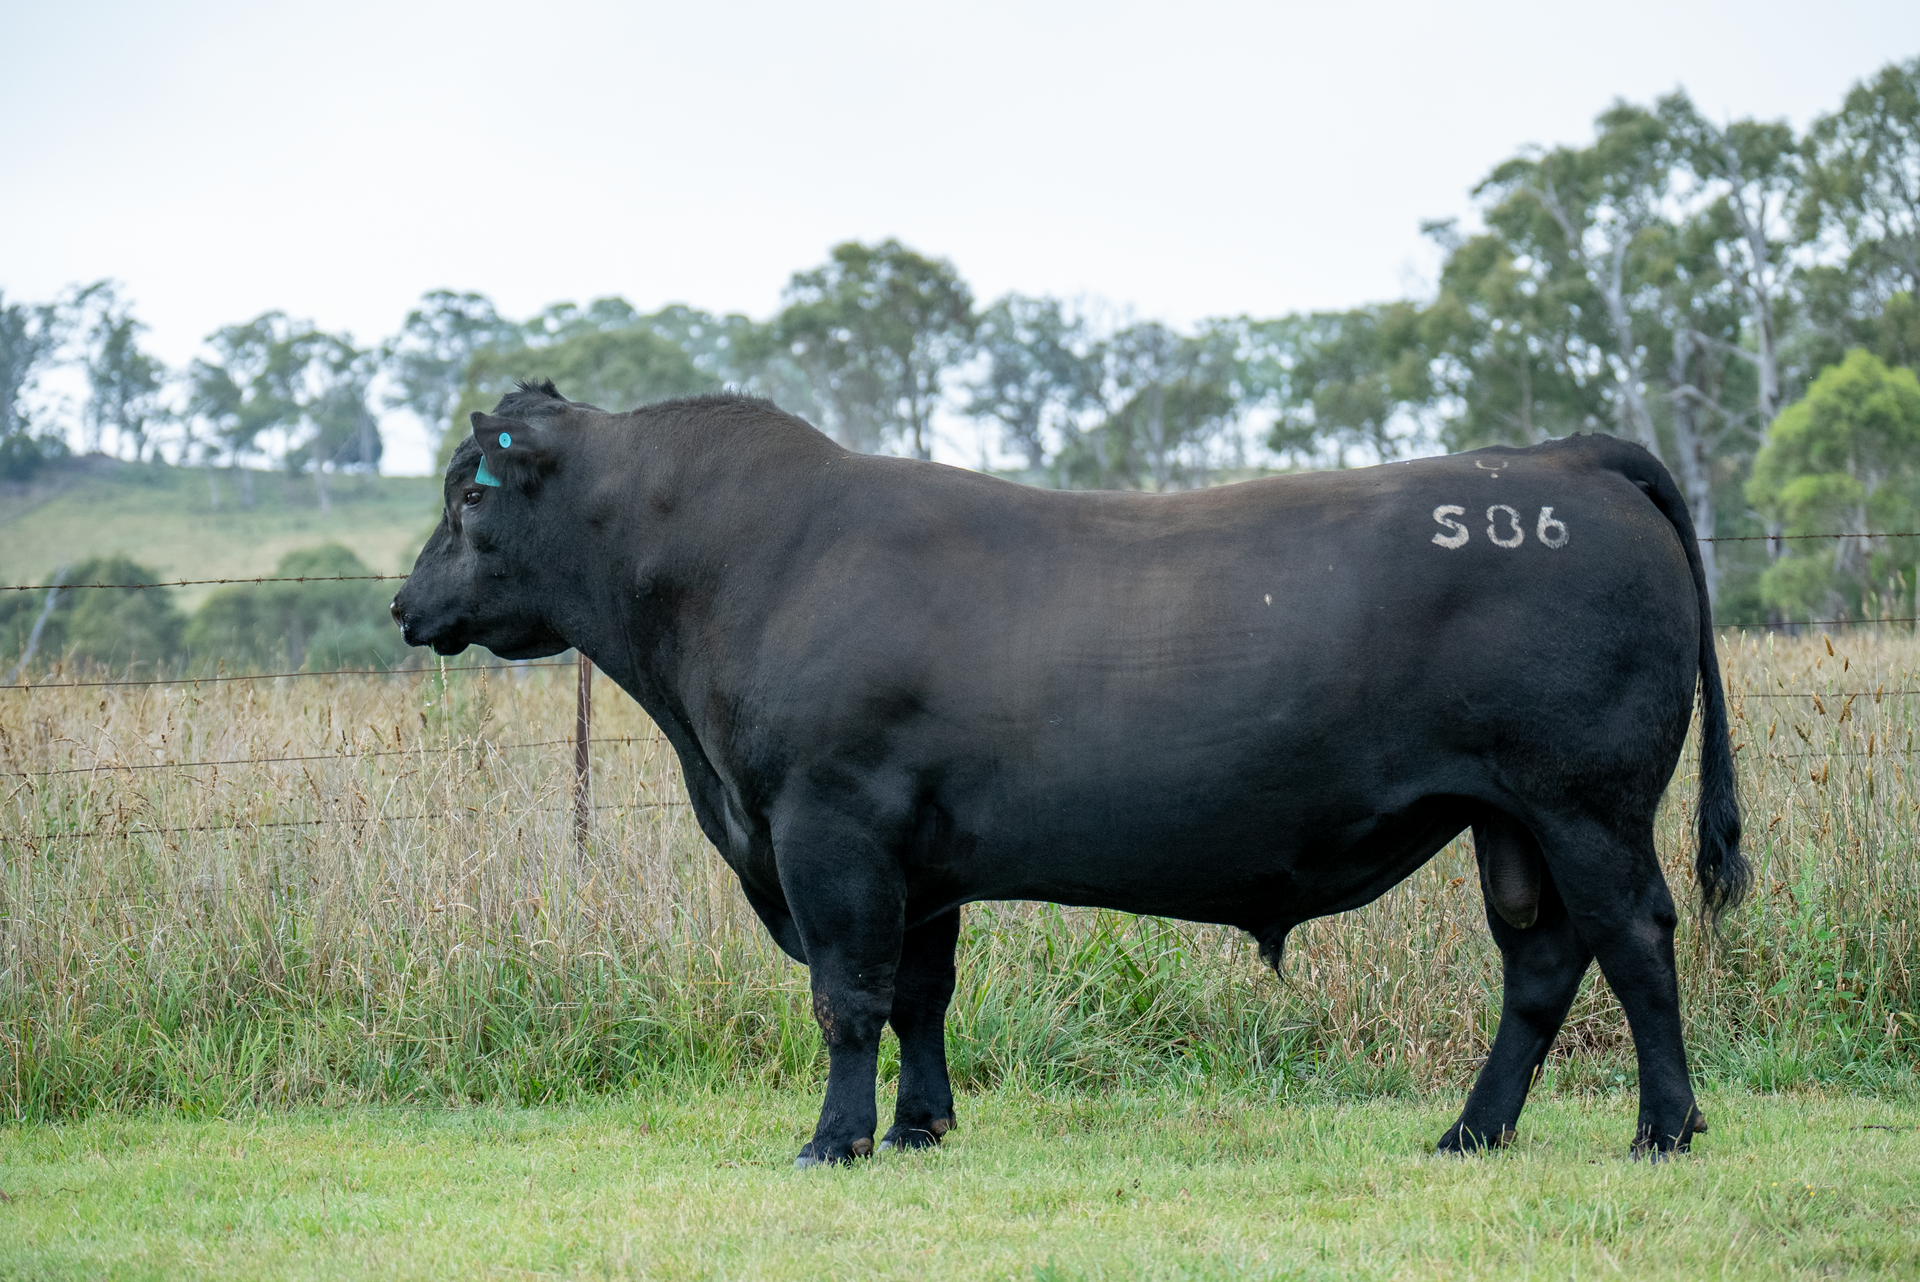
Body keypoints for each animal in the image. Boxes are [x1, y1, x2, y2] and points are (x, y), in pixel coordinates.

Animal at [392, 380, 1746, 1165]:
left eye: (469, 494)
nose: (407, 604)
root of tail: (1565, 458)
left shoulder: (830, 830)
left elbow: (849, 997)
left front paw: (835, 1140)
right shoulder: (916, 859)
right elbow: (921, 995)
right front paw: (922, 1126)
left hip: (1587, 802)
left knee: (1635, 938)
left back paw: (1664, 1127)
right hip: (1507, 817)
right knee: (1542, 962)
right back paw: (1472, 1130)